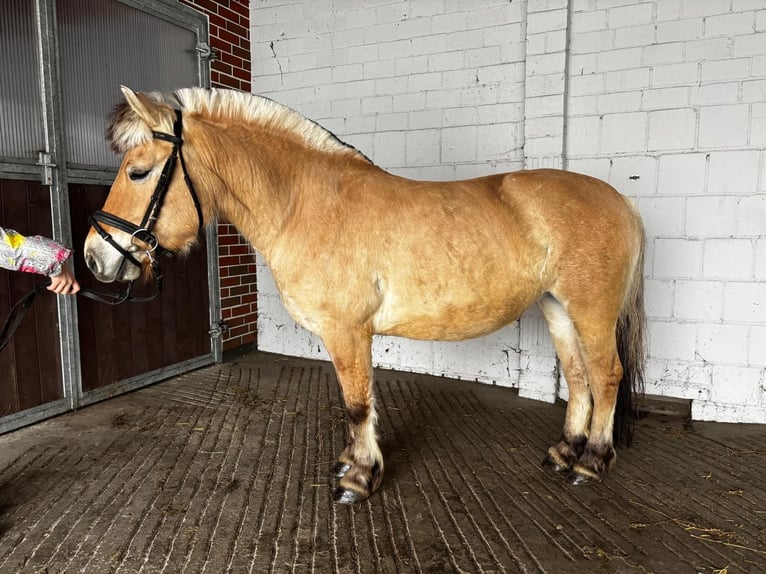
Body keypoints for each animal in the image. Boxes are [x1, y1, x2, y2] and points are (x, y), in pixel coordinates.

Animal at [84, 86, 646, 505]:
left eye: (137, 171)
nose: (93, 257)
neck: (304, 205)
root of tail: (621, 201)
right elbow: (361, 404)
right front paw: (356, 465)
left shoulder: (346, 331)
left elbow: (356, 404)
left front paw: (358, 479)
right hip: (558, 308)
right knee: (579, 377)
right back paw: (564, 453)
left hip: (591, 311)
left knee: (606, 376)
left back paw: (591, 462)